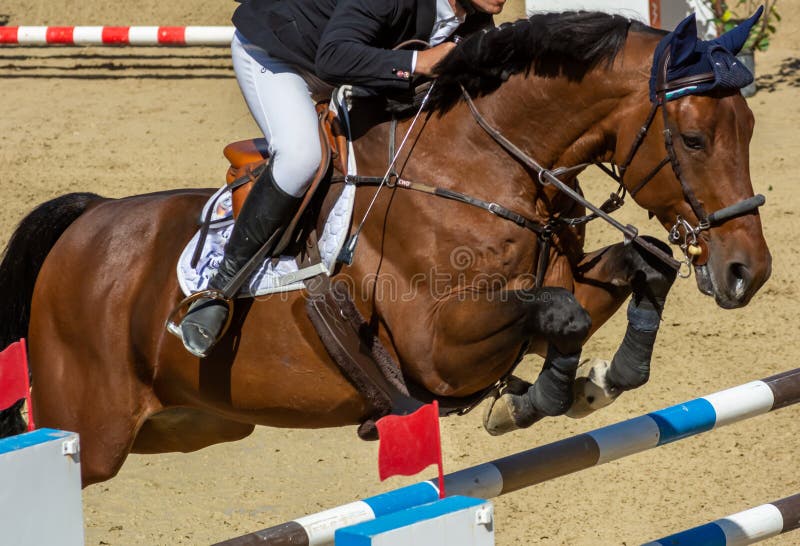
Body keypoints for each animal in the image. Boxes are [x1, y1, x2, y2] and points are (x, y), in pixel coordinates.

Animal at [0, 11, 768, 484]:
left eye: (751, 127)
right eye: (693, 138)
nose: (748, 273)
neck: (484, 164)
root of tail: (88, 220)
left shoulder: (561, 276)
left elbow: (646, 266)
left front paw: (603, 379)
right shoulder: (439, 347)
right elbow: (561, 313)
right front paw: (541, 395)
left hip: (191, 422)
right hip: (92, 428)